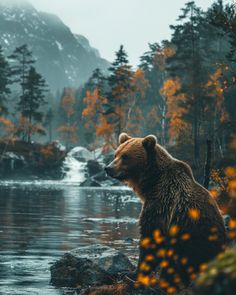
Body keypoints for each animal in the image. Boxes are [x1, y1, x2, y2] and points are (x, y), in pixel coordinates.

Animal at [104, 134, 226, 294]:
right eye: (116, 154)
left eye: (125, 156)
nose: (108, 168)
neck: (152, 182)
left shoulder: (163, 204)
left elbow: (151, 238)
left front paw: (133, 273)